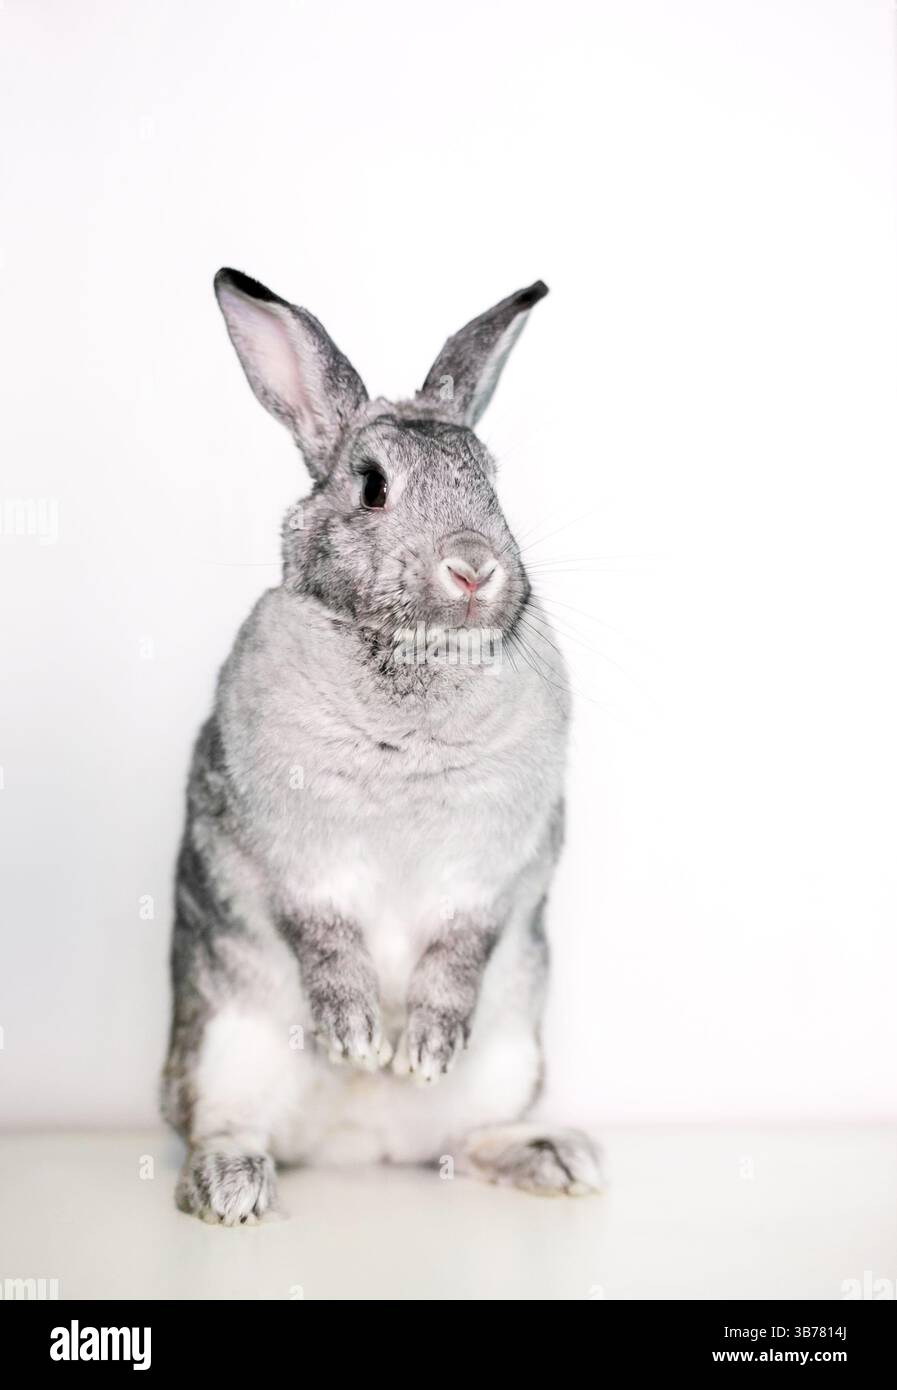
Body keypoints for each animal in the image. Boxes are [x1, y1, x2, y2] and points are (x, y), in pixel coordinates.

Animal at [161, 268, 603, 1224]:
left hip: (508, 1057)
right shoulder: (292, 859)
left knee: (463, 1143)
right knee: (220, 1124)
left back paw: (553, 1156)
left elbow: (457, 954)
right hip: (220, 1042)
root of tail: (354, 1145)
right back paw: (232, 1186)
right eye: (371, 486)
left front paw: (419, 1049)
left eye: (491, 485)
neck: (416, 664)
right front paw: (358, 1037)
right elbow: (325, 939)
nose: (472, 565)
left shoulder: (494, 873)